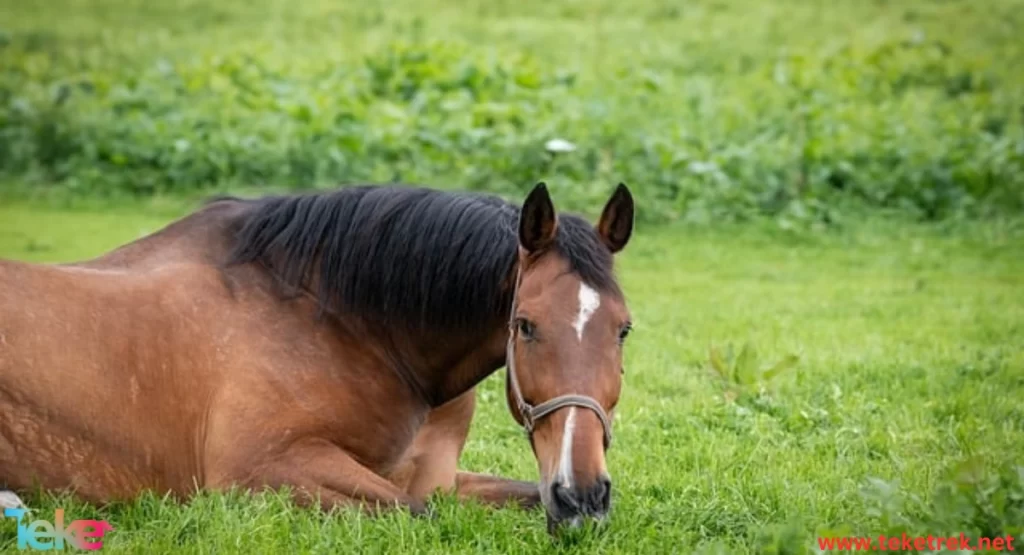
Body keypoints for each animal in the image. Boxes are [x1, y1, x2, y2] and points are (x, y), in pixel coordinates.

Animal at [0, 181, 634, 532]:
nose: (581, 495)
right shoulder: (264, 471)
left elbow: (504, 496)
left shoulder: (438, 478)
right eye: (525, 326)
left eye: (624, 329)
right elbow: (419, 514)